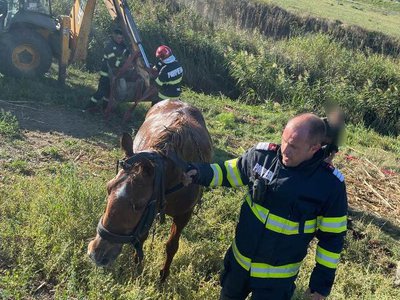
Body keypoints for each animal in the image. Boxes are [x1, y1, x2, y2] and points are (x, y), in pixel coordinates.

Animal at [87, 99, 212, 280]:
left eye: (138, 205)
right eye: (108, 188)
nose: (96, 253)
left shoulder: (183, 215)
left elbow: (172, 246)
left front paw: (163, 277)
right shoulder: (149, 214)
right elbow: (141, 240)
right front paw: (137, 270)